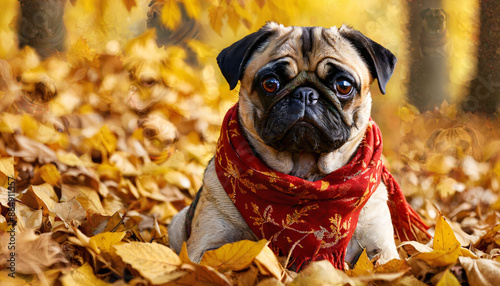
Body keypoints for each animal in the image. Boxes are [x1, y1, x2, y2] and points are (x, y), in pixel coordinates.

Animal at [169, 22, 430, 270]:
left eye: (344, 85)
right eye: (270, 83)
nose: (306, 93)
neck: (306, 174)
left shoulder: (383, 249)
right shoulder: (206, 247)